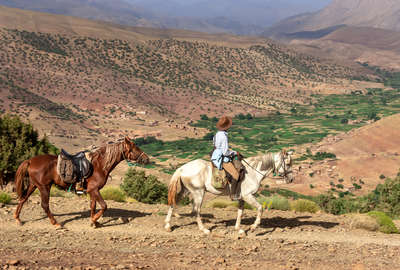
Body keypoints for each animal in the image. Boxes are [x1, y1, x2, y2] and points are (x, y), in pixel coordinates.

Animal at [13, 137, 150, 228]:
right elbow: (104, 206)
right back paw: (56, 223)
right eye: (135, 148)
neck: (99, 165)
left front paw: (94, 222)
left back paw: (18, 219)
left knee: (23, 199)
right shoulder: (93, 190)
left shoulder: (93, 191)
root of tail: (30, 160)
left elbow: (93, 206)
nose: (147, 159)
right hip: (44, 187)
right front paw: (94, 220)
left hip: (33, 185)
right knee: (45, 205)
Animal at [165, 151, 294, 235]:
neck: (253, 172)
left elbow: (240, 213)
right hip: (198, 193)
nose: (291, 179)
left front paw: (239, 229)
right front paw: (253, 227)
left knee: (173, 204)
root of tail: (182, 168)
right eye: (287, 164)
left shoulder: (241, 198)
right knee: (196, 211)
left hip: (185, 191)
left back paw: (168, 226)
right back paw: (204, 230)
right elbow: (260, 208)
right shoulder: (248, 196)